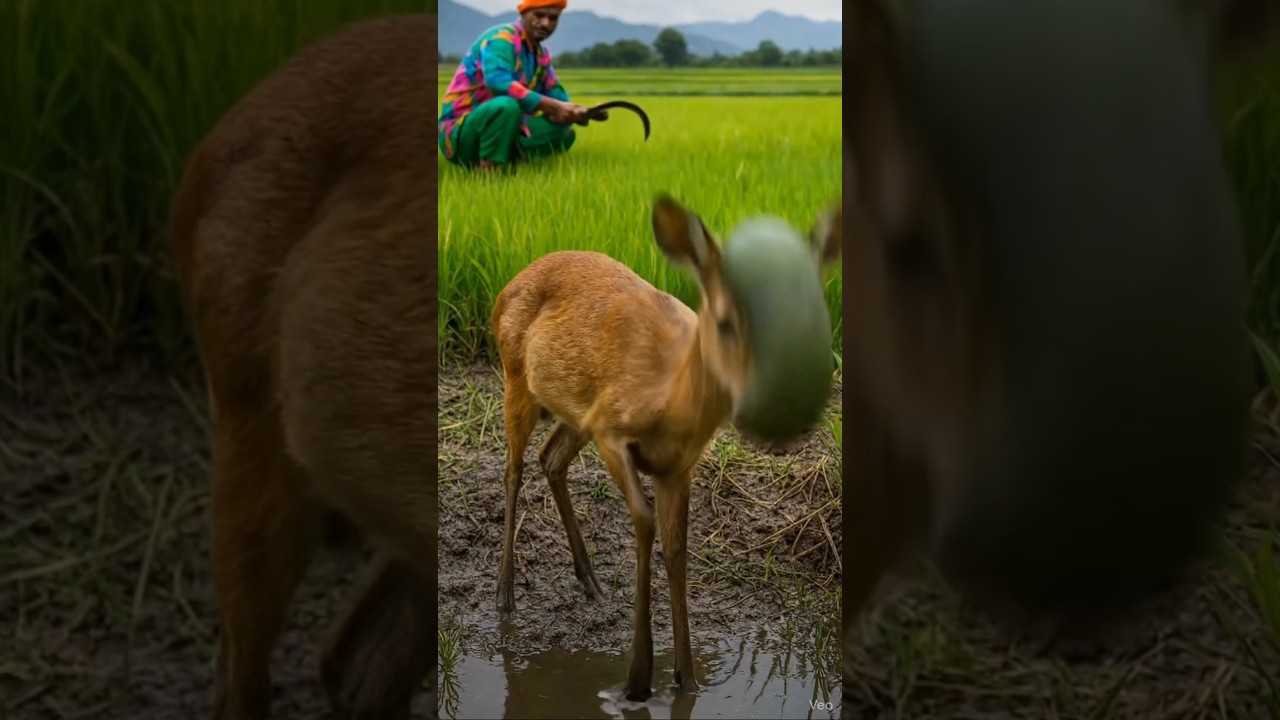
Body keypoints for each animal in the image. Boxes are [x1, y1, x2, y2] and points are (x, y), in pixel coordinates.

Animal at [490, 194, 842, 702]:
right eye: (726, 323)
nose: (761, 408)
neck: (669, 399)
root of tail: (506, 288)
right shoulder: (611, 427)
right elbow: (644, 520)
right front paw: (638, 678)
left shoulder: (677, 466)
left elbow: (677, 551)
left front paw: (687, 680)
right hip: (516, 377)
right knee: (513, 469)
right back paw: (505, 596)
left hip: (574, 412)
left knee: (550, 459)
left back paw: (591, 581)